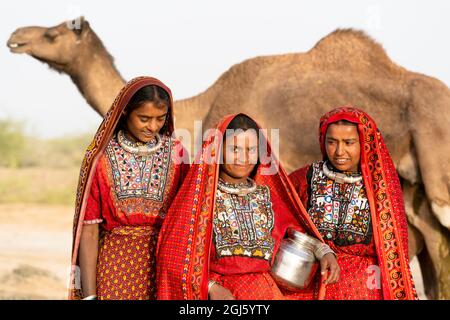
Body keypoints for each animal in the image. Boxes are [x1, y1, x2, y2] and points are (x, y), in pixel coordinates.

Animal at [7, 16, 450, 298]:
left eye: (52, 34)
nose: (15, 37)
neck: (202, 106)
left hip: (436, 171)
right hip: (415, 186)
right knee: (433, 241)